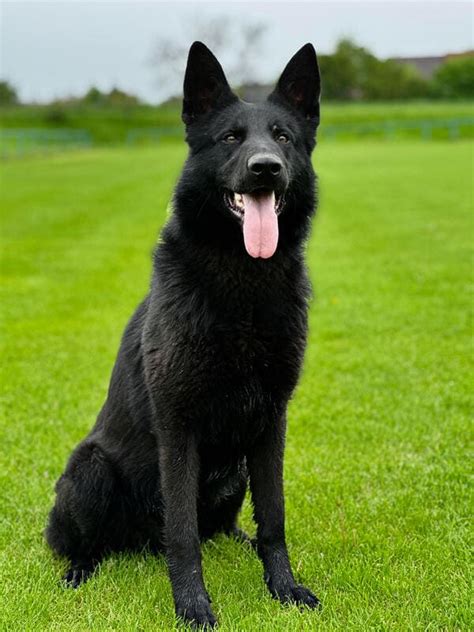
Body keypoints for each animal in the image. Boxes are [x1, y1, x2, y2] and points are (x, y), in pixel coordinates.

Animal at [45, 40, 322, 628]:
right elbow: (183, 534)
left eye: (283, 137)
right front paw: (192, 605)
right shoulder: (178, 427)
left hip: (235, 471)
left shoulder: (272, 422)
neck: (243, 283)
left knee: (227, 526)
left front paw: (283, 587)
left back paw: (240, 544)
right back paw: (80, 571)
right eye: (231, 138)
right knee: (88, 543)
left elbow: (274, 518)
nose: (266, 168)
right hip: (89, 470)